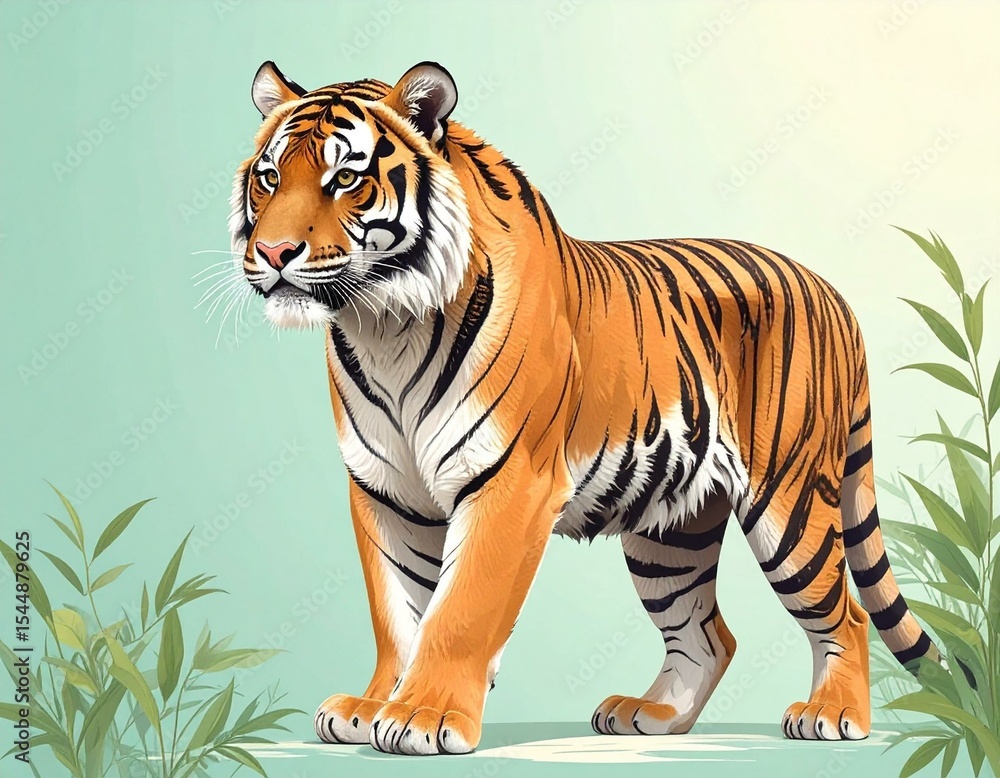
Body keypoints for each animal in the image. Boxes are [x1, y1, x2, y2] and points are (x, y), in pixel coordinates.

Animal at [227, 60, 939, 755]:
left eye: (346, 178)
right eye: (269, 178)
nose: (273, 253)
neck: (384, 324)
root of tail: (831, 291)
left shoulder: (510, 481)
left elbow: (460, 608)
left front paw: (423, 716)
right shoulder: (384, 491)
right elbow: (398, 610)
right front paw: (373, 706)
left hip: (788, 504)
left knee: (846, 615)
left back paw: (831, 714)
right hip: (670, 530)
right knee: (707, 634)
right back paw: (650, 714)